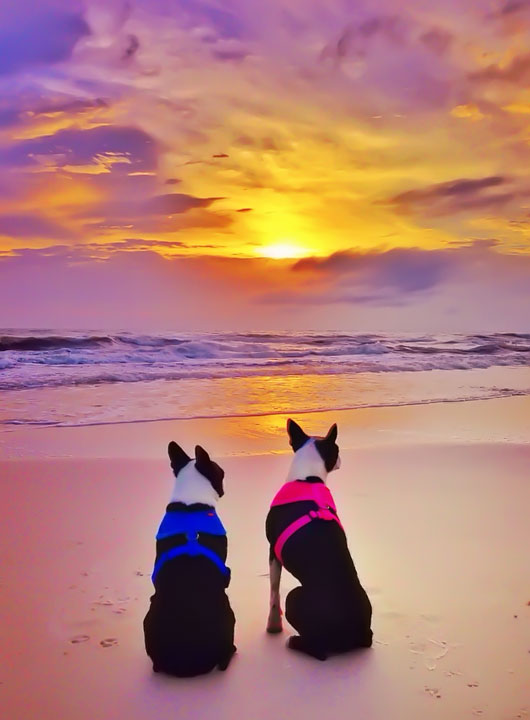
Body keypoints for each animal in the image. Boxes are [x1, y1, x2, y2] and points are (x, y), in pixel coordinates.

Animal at [264, 420, 372, 660]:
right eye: (337, 450)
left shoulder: (272, 550)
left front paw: (273, 625)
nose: (342, 458)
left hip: (295, 596)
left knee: (318, 649)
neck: (308, 479)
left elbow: (274, 591)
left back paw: (294, 641)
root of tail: (351, 630)